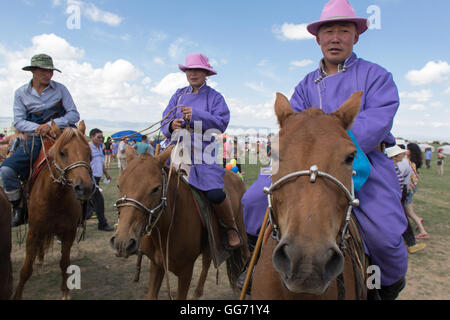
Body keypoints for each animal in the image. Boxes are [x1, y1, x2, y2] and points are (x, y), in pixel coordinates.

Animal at [13, 120, 94, 300]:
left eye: (89, 152)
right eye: (62, 153)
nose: (84, 188)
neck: (55, 197)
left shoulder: (69, 232)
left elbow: (64, 263)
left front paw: (65, 291)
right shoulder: (33, 232)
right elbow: (25, 269)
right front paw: (17, 295)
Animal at [110, 148, 250, 300]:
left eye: (155, 188)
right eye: (119, 185)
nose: (122, 242)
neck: (166, 229)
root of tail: (237, 178)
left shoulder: (185, 271)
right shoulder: (157, 265)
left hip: (241, 230)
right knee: (207, 260)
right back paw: (197, 293)